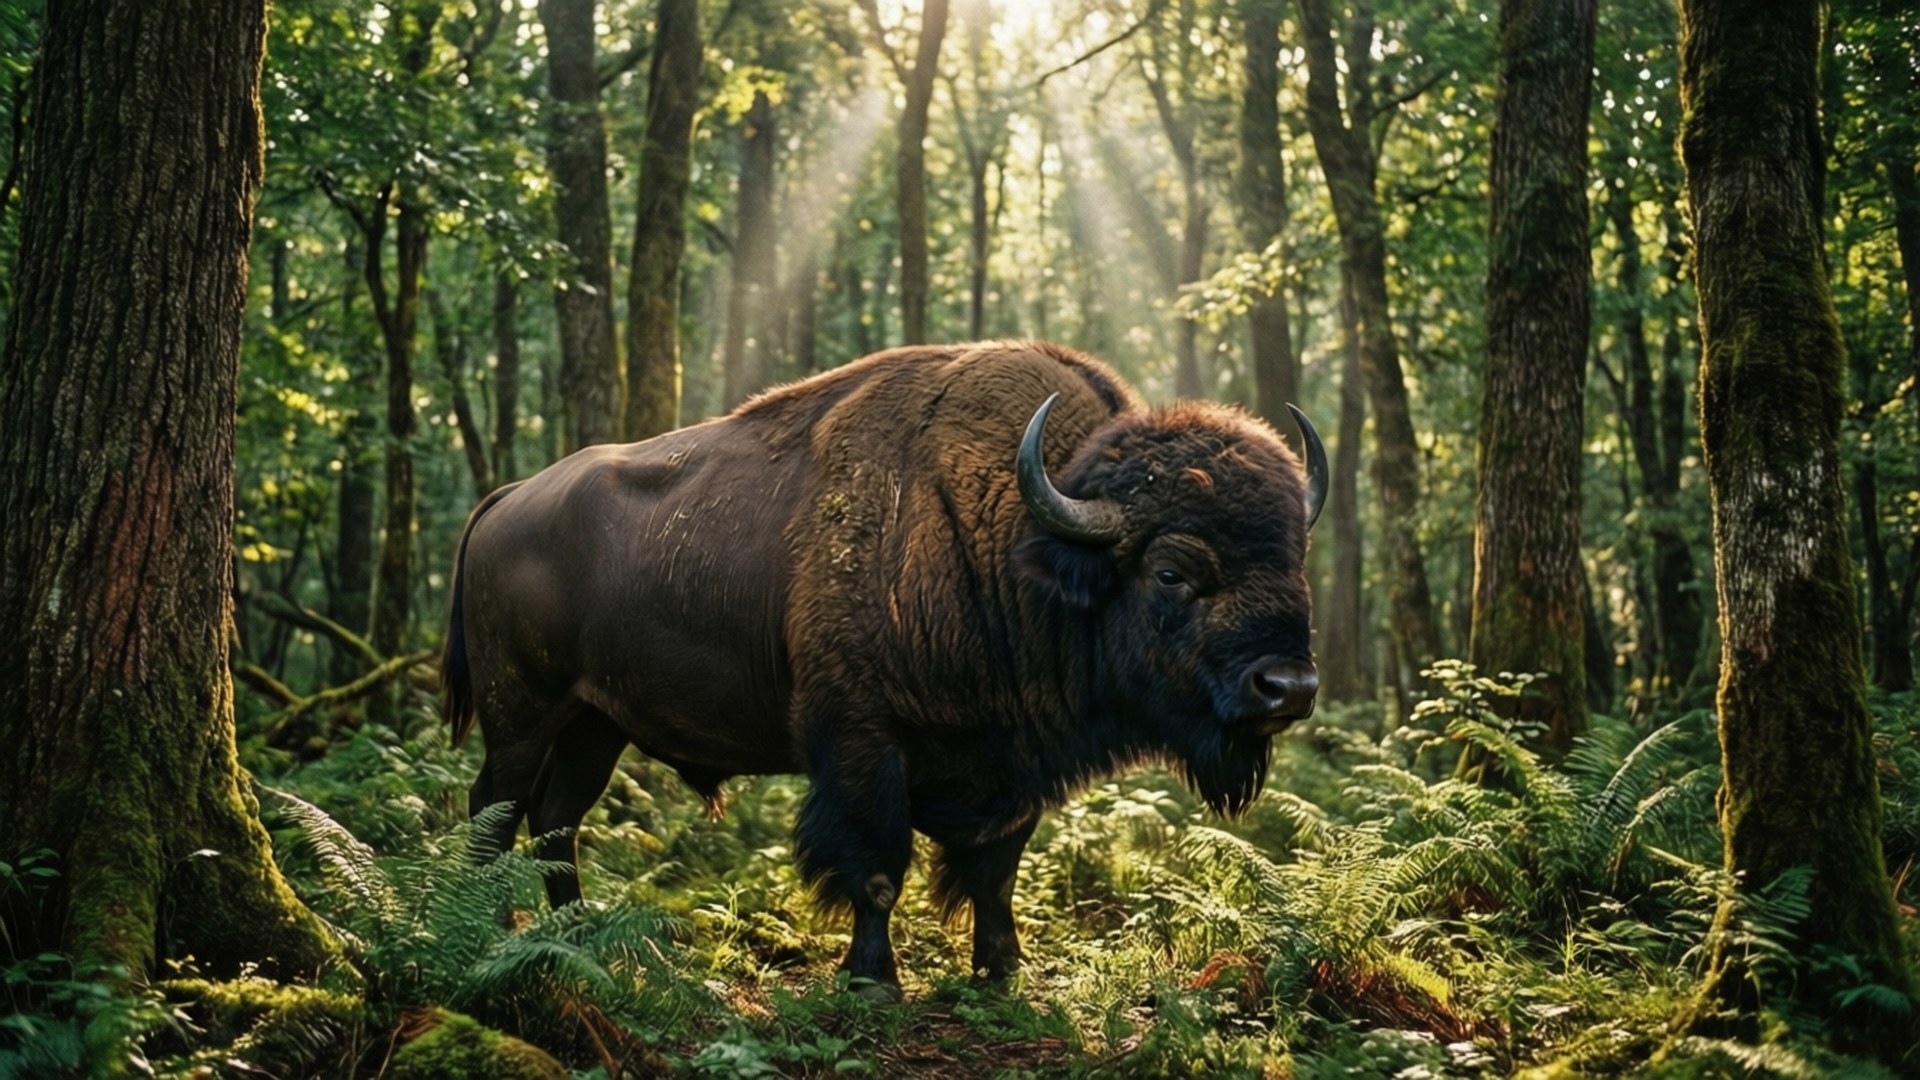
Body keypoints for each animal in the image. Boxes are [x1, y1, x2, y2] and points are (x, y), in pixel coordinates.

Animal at [443, 341, 1326, 994]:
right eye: (1172, 570)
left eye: (1296, 559)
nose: (1287, 688)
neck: (1017, 542)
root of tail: (508, 498)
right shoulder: (865, 743)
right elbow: (877, 868)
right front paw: (874, 980)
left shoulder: (1011, 764)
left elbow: (995, 872)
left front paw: (1001, 972)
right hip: (522, 715)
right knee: (495, 809)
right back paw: (489, 934)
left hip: (595, 724)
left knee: (558, 818)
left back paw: (578, 936)